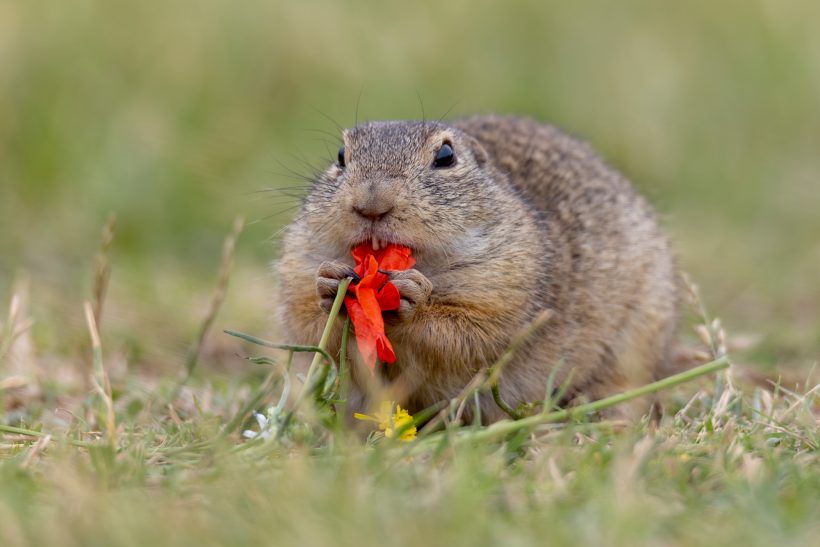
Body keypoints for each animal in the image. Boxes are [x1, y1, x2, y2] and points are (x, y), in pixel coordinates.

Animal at [276, 115, 680, 424]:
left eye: (446, 155)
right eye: (341, 156)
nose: (371, 203)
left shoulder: (507, 284)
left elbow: (472, 334)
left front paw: (414, 299)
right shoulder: (298, 265)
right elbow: (312, 331)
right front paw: (329, 284)